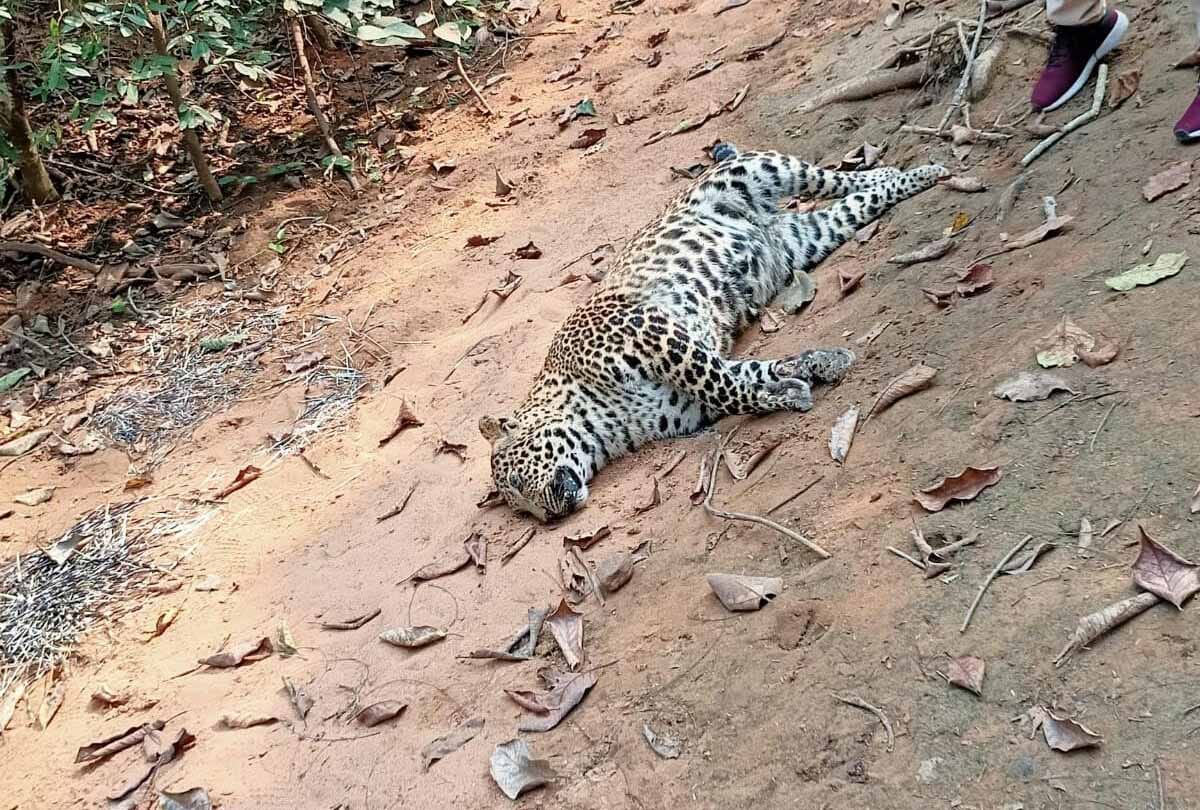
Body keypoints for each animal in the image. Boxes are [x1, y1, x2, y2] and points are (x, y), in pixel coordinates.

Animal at [479, 143, 948, 521]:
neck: (602, 423)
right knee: (853, 203)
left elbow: (724, 386)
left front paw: (795, 387)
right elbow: (747, 376)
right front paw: (811, 369)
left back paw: (920, 171)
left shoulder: (655, 334)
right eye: (522, 512)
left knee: (831, 178)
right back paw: (902, 178)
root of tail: (764, 220)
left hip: (760, 169)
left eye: (518, 482)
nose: (550, 518)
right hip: (804, 239)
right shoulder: (688, 399)